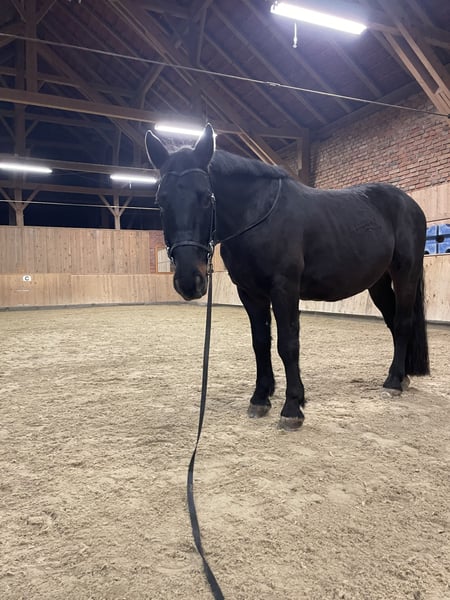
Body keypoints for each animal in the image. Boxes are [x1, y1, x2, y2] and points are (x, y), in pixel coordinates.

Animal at [145, 124, 429, 431]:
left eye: (206, 196)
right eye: (160, 201)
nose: (189, 280)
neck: (259, 216)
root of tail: (411, 205)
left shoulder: (285, 289)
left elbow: (288, 344)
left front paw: (293, 406)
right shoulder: (250, 293)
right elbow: (261, 342)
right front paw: (260, 397)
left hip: (405, 274)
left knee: (402, 323)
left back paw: (393, 383)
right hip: (378, 283)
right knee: (393, 322)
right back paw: (401, 375)